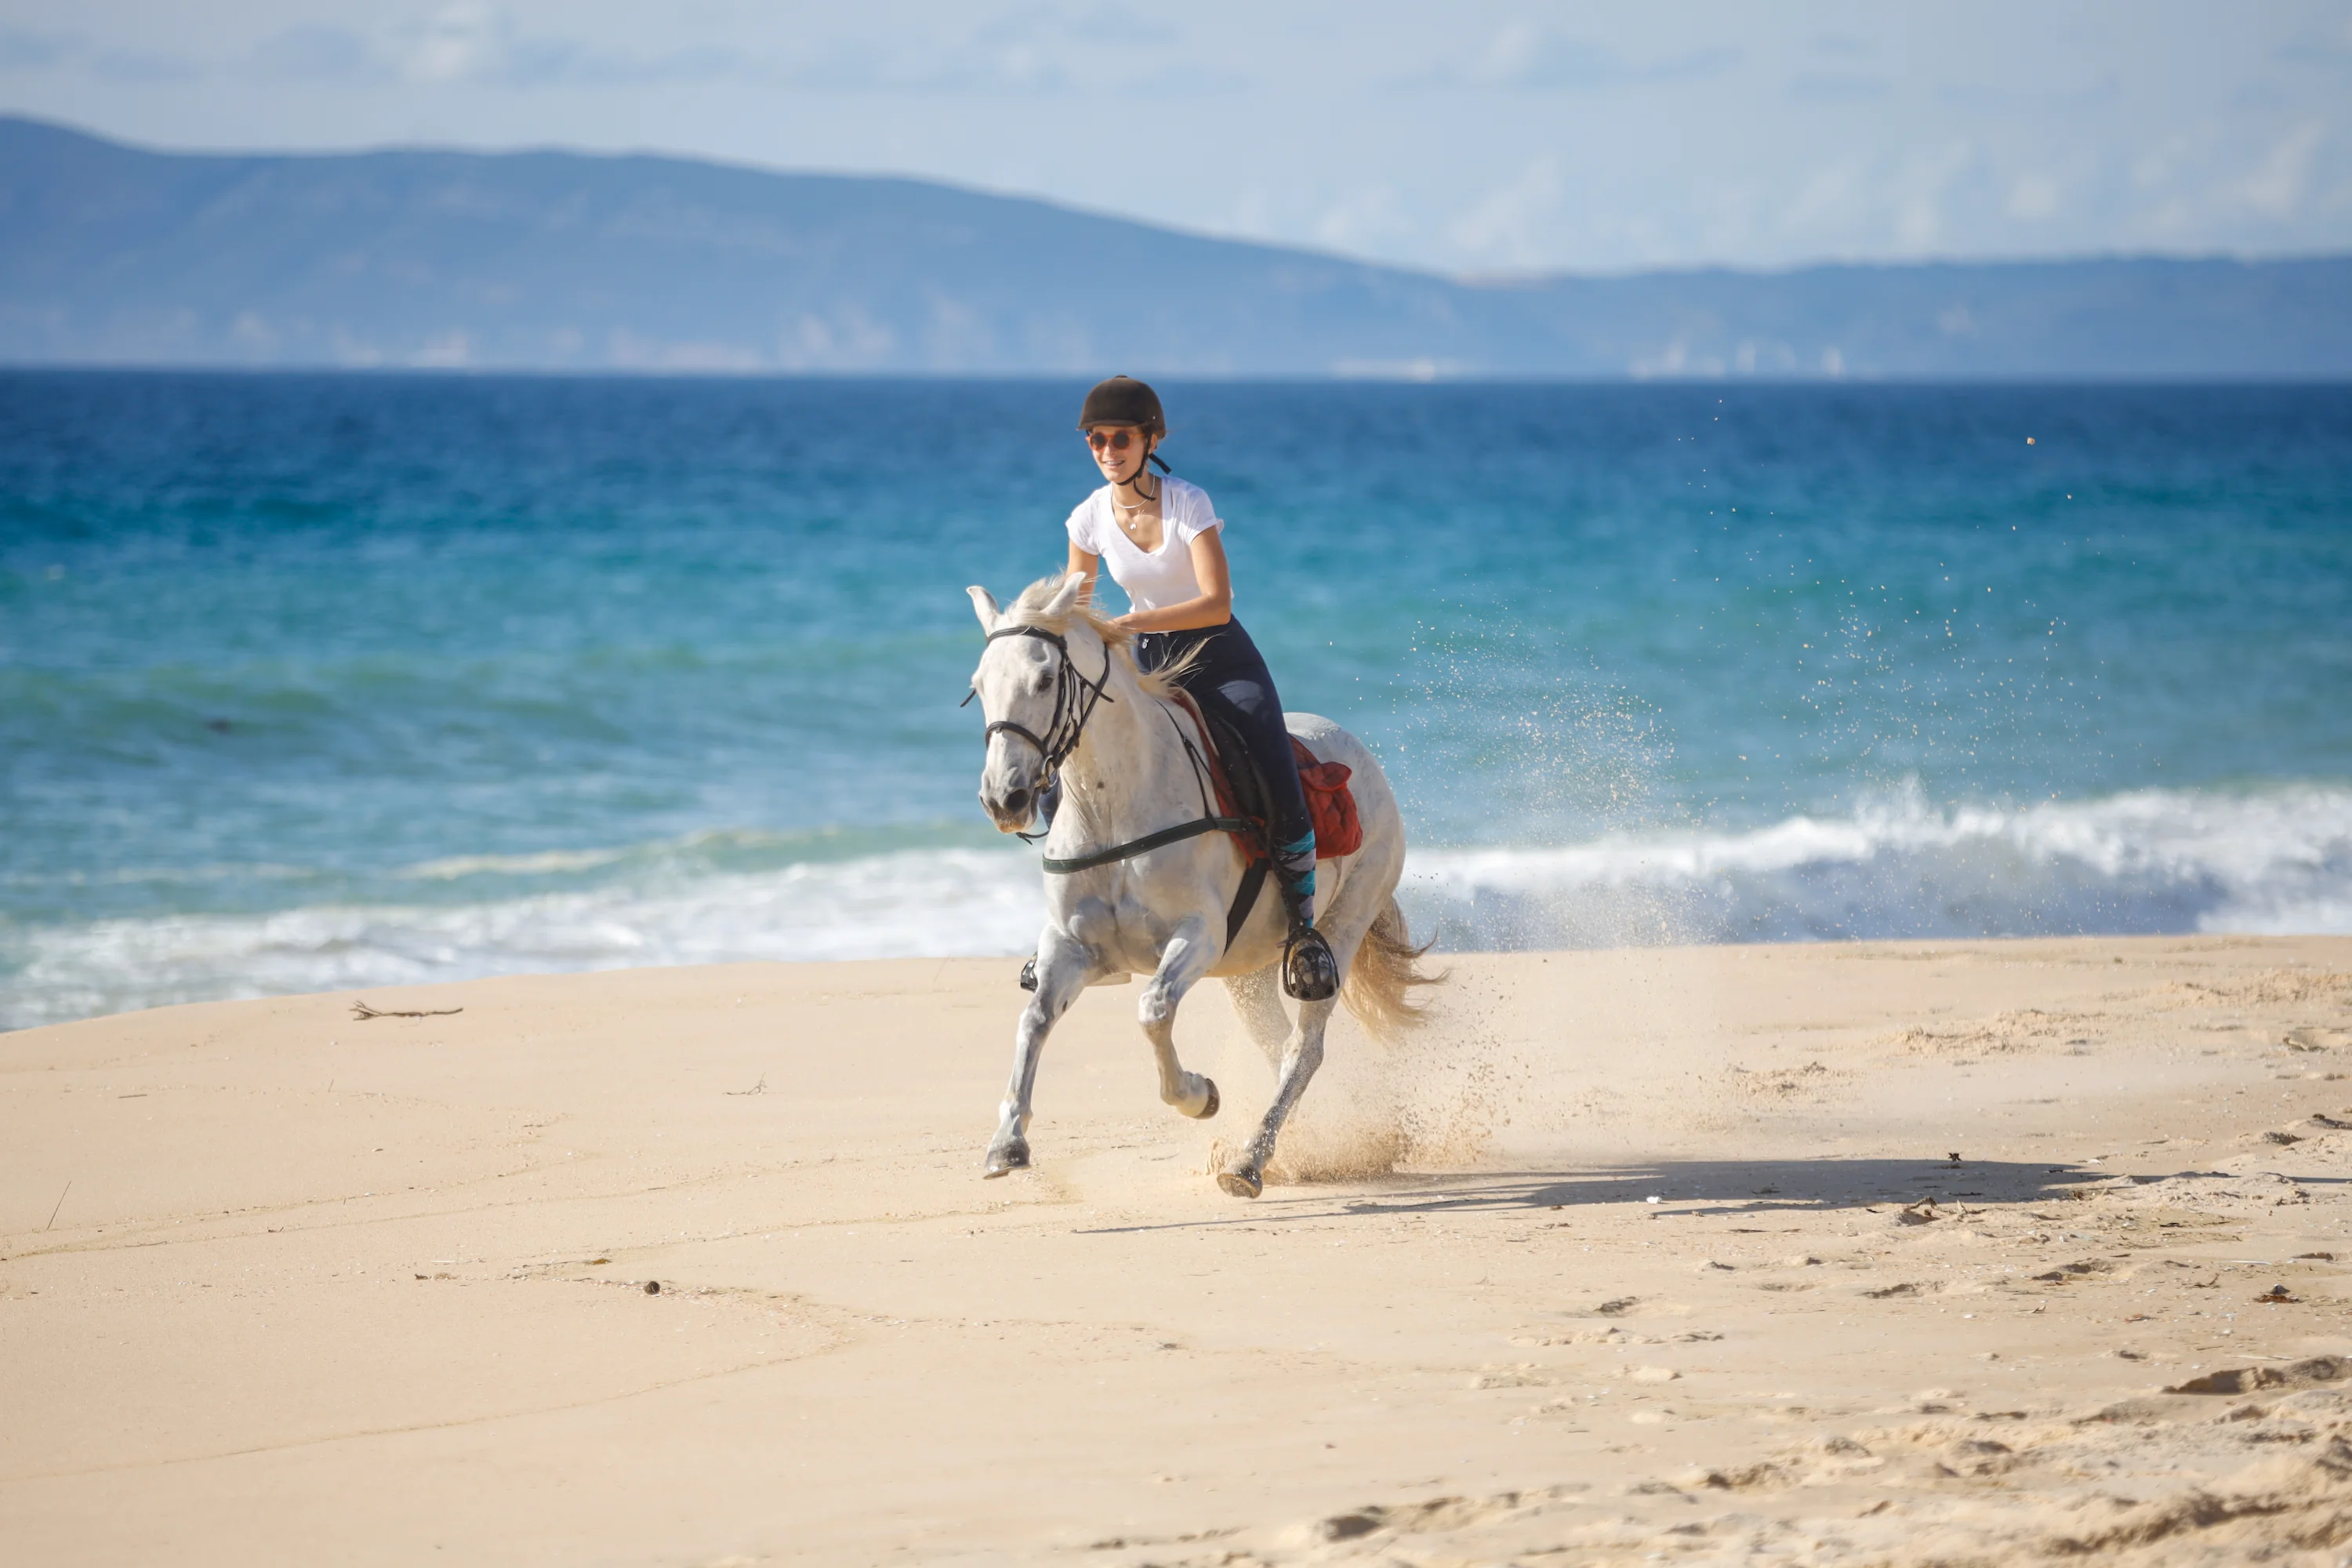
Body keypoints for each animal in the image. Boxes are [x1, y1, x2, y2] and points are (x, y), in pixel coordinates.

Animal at [960, 575, 1430, 1203]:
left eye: (1044, 679)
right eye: (978, 686)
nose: (1002, 799)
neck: (1114, 807)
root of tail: (1362, 756)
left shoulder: (1198, 938)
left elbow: (1153, 1010)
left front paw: (1198, 1095)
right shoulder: (1071, 946)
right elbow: (1034, 1021)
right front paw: (1007, 1143)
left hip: (1342, 927)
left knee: (1303, 1049)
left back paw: (1250, 1162)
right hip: (1249, 970)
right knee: (1275, 1043)